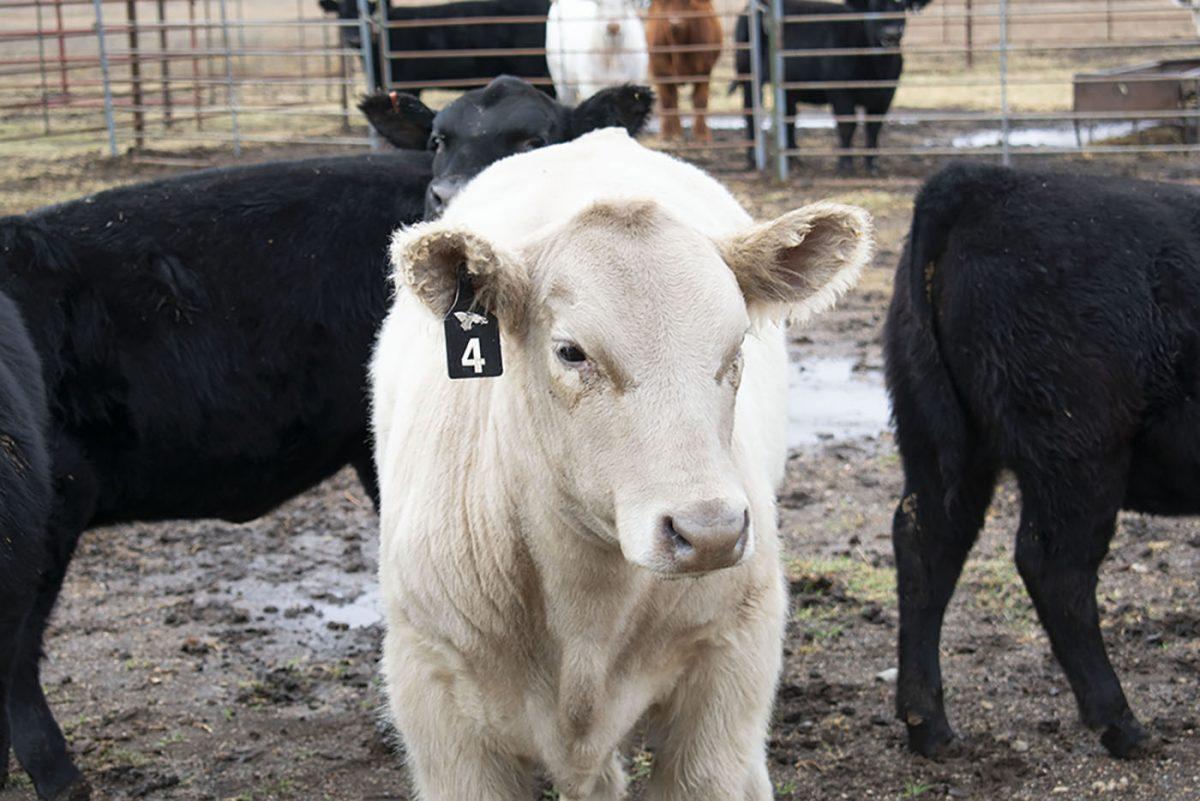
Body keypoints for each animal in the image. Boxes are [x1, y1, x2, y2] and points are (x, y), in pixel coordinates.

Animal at [645, 0, 723, 141]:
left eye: (688, 3)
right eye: (665, 4)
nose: (675, 22)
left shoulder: (704, 72)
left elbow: (700, 101)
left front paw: (702, 135)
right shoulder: (660, 73)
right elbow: (667, 102)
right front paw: (668, 134)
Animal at [736, 0, 925, 173]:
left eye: (902, 6)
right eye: (874, 6)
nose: (891, 33)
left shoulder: (886, 94)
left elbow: (874, 128)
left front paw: (872, 165)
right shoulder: (840, 91)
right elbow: (847, 125)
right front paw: (845, 165)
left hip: (788, 87)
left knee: (788, 117)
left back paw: (793, 158)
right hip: (748, 76)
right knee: (750, 112)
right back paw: (753, 158)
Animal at [885, 162, 1200, 761]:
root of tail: (986, 181)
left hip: (934, 440)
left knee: (927, 546)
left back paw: (929, 727)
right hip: (1079, 451)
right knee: (1056, 568)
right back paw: (1121, 724)